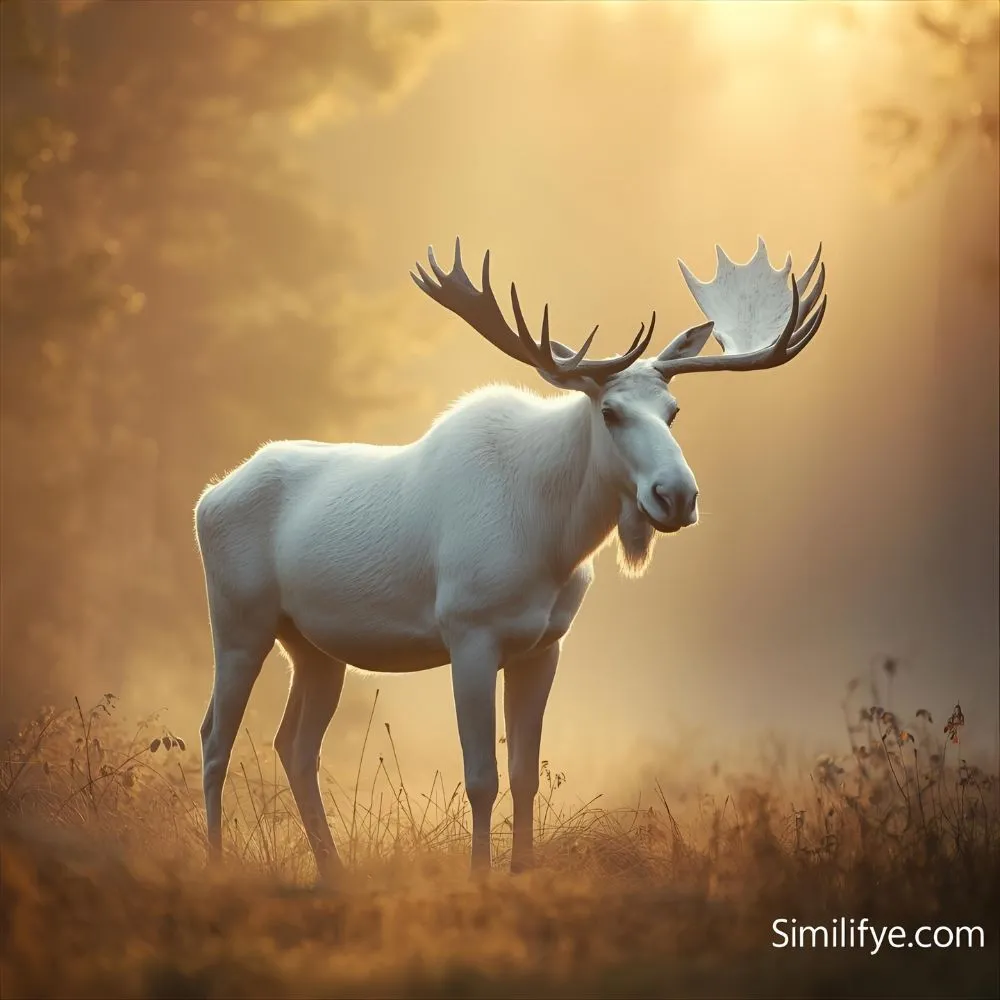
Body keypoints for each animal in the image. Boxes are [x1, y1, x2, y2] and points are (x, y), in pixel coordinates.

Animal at [194, 236, 827, 883]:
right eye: (610, 412)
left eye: (673, 411)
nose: (677, 496)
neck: (553, 539)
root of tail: (208, 496)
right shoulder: (470, 634)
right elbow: (482, 777)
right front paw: (479, 874)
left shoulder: (544, 646)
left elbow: (524, 774)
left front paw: (522, 868)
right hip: (239, 623)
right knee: (215, 736)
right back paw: (216, 861)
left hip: (315, 646)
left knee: (294, 746)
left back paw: (332, 869)